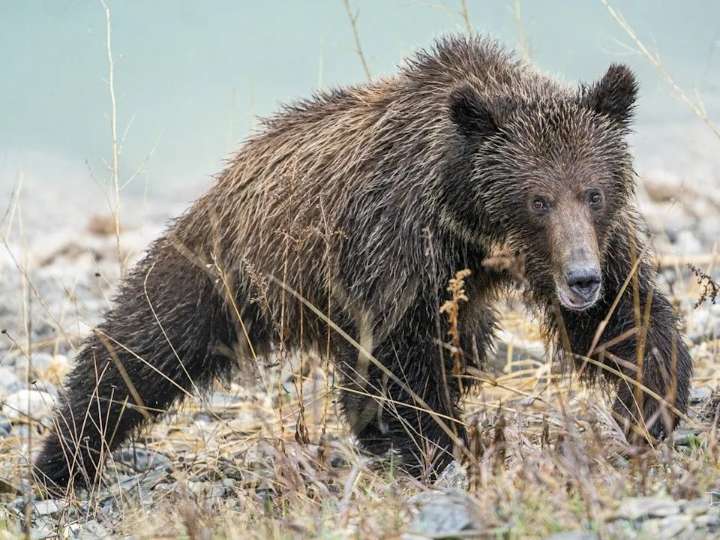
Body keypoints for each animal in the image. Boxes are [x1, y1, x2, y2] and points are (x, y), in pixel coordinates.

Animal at [34, 35, 692, 493]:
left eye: (593, 192)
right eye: (537, 199)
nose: (580, 279)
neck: (472, 225)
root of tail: (230, 172)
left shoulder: (592, 245)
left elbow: (620, 321)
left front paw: (652, 405)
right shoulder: (403, 251)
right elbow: (410, 362)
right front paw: (438, 447)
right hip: (231, 269)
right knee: (145, 343)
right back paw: (62, 460)